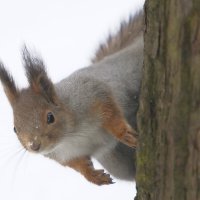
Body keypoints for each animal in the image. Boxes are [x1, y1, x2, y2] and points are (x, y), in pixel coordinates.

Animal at [0, 10, 144, 186]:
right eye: (15, 128)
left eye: (50, 117)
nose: (34, 145)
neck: (69, 137)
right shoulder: (64, 155)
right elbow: (79, 165)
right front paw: (94, 176)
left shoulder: (92, 94)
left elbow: (111, 113)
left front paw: (124, 134)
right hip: (117, 163)